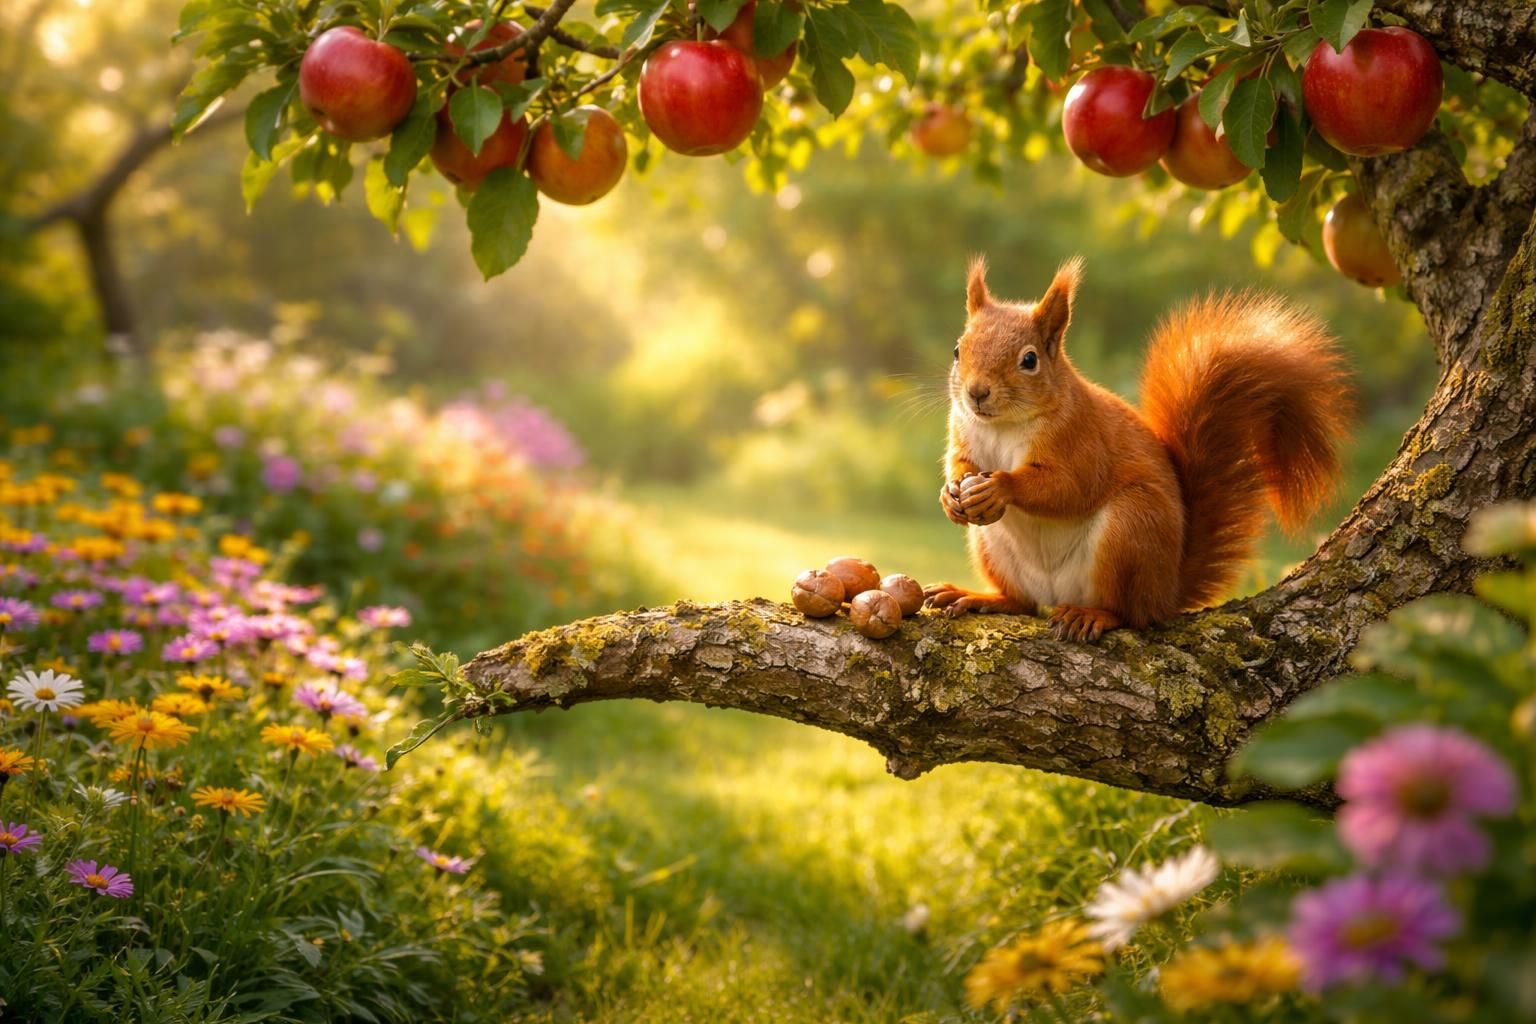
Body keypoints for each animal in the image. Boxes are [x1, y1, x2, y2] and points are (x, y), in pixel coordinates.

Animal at [923, 256, 1353, 642]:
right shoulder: (964, 430)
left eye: (1029, 360)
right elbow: (960, 462)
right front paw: (950, 494)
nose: (977, 392)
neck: (1004, 425)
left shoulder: (1081, 439)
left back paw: (1092, 615)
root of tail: (1166, 592)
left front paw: (1001, 487)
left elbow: (1068, 487)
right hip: (992, 548)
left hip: (1130, 531)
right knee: (1024, 603)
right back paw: (980, 597)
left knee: (1129, 614)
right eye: (958, 350)